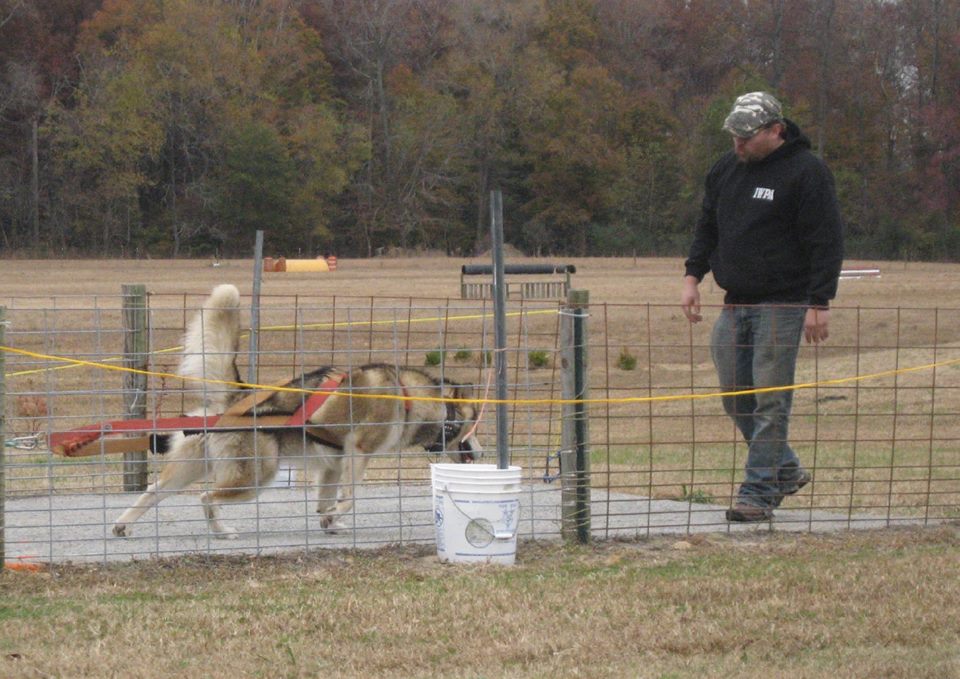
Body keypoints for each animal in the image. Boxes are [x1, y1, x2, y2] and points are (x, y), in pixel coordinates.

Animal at [111, 284, 480, 540]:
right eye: (476, 423)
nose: (480, 452)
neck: (408, 397)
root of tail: (237, 397)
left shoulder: (332, 465)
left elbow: (324, 502)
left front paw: (330, 522)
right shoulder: (358, 452)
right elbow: (350, 497)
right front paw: (336, 515)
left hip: (192, 467)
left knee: (153, 491)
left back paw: (122, 526)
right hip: (257, 477)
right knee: (206, 498)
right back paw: (222, 532)